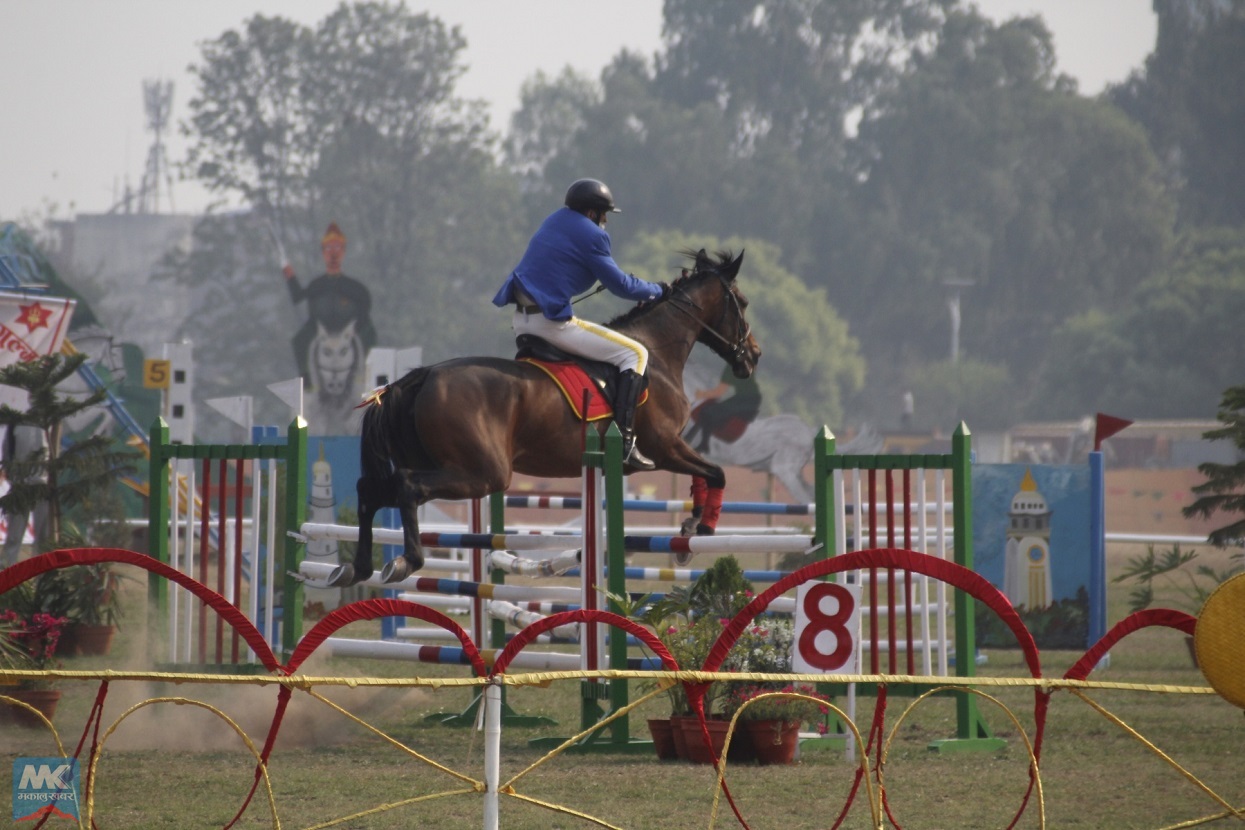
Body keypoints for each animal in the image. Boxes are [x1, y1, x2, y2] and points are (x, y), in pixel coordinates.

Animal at [331, 250, 756, 587]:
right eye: (743, 302)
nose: (753, 357)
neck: (656, 349)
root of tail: (423, 376)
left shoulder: (670, 449)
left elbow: (704, 475)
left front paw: (689, 528)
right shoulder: (664, 446)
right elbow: (715, 472)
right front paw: (703, 527)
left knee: (371, 492)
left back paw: (358, 568)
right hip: (483, 474)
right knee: (407, 487)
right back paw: (407, 561)